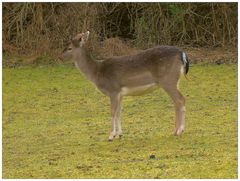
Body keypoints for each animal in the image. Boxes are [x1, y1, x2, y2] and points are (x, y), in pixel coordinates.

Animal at [61, 31, 190, 141]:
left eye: (69, 48)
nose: (59, 57)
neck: (97, 73)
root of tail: (182, 54)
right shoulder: (120, 94)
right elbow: (119, 112)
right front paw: (120, 134)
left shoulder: (113, 90)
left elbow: (113, 111)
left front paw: (111, 136)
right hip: (175, 81)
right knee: (176, 102)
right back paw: (175, 131)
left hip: (168, 80)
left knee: (180, 99)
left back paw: (180, 130)